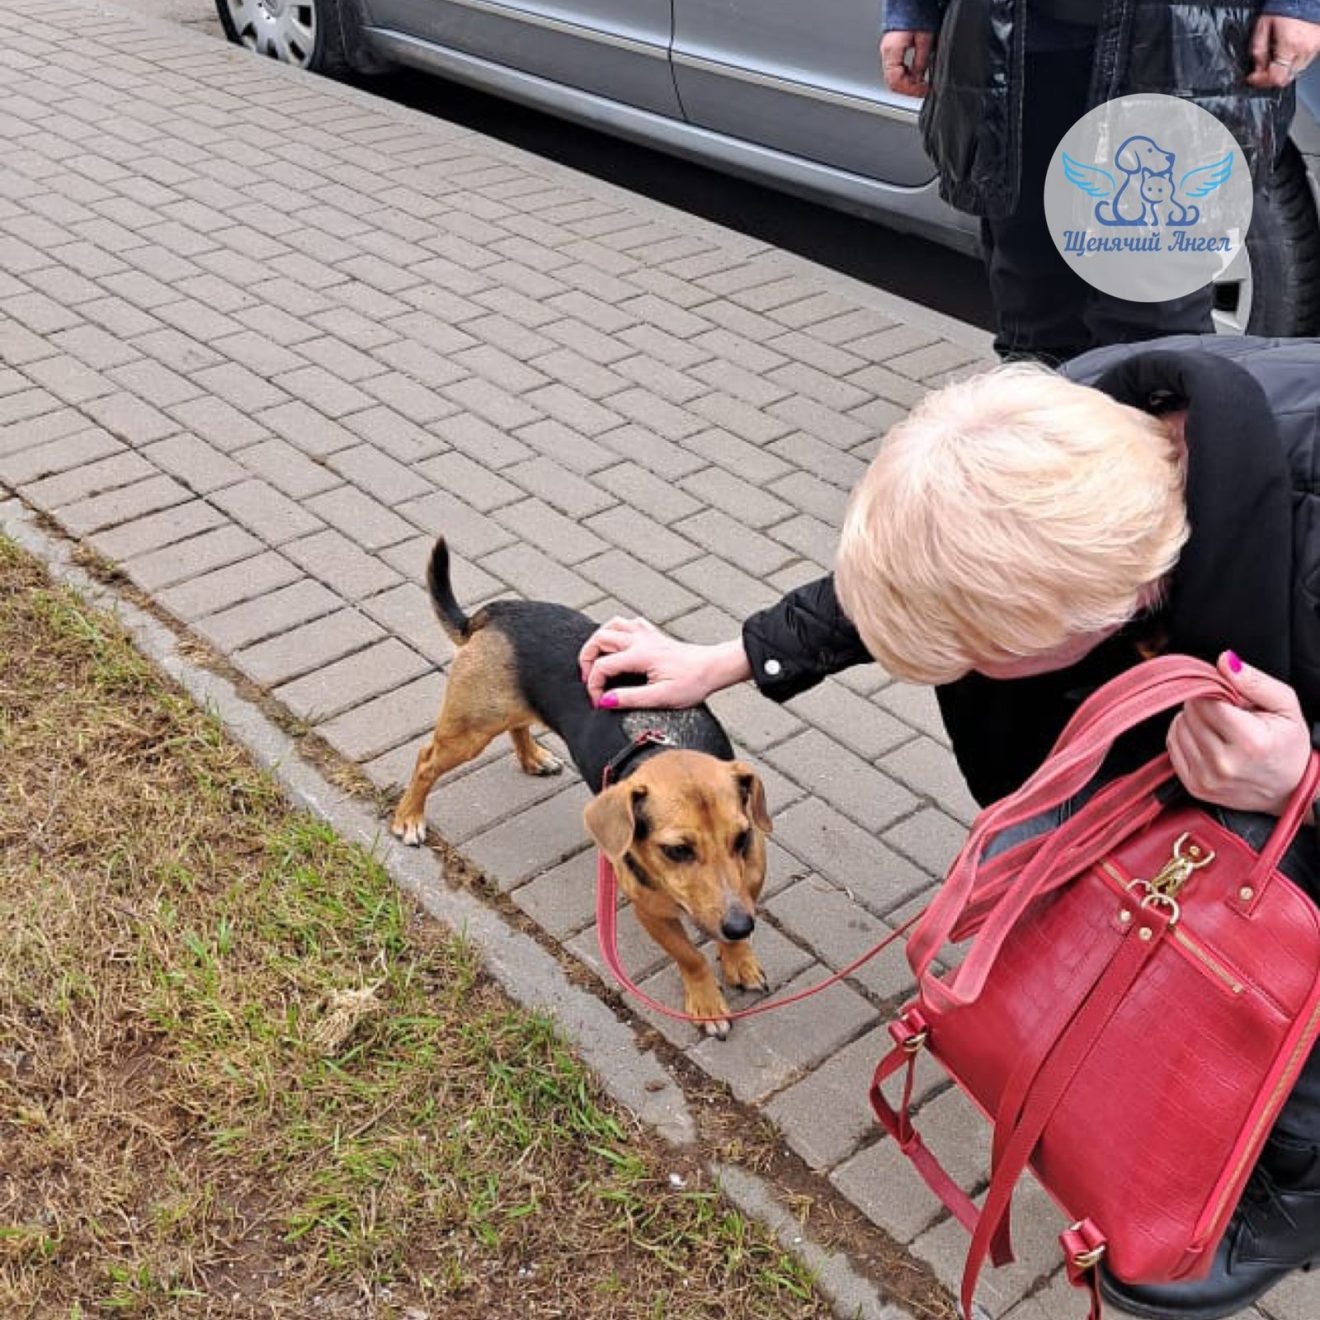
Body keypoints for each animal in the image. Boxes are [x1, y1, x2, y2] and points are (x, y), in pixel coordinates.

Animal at [388, 538, 770, 1040]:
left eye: (742, 839)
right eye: (677, 850)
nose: (740, 926)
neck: (664, 745)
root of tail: (497, 611)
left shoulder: (749, 880)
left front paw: (739, 958)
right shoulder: (652, 910)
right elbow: (689, 957)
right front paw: (706, 1002)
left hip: (509, 712)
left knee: (518, 728)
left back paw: (533, 757)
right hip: (471, 729)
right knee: (426, 760)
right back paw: (409, 817)